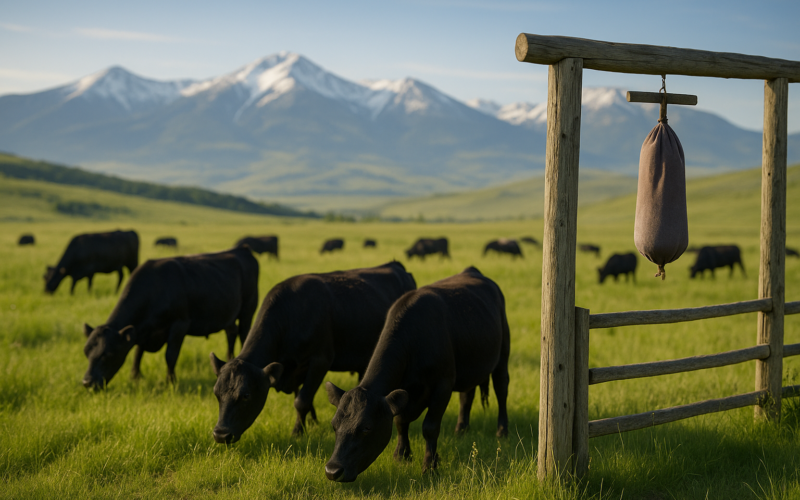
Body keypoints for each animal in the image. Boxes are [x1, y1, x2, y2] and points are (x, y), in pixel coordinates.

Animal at [81, 247, 259, 389]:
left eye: (107, 354)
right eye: (86, 352)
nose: (87, 382)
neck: (155, 289)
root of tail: (242, 249)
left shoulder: (180, 324)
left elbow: (170, 355)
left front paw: (171, 382)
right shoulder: (142, 331)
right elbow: (138, 352)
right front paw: (135, 377)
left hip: (248, 309)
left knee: (244, 334)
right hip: (228, 314)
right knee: (231, 332)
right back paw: (229, 359)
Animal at [209, 261, 417, 442]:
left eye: (245, 395)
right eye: (216, 393)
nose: (220, 435)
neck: (291, 314)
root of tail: (395, 265)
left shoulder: (320, 361)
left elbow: (302, 400)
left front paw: (297, 432)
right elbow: (304, 398)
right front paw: (313, 422)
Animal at [324, 267, 509, 482]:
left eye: (366, 428)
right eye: (334, 425)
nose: (332, 470)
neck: (414, 342)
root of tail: (473, 271)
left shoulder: (443, 384)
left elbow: (430, 427)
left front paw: (429, 466)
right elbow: (400, 421)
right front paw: (402, 455)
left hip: (503, 353)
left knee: (501, 389)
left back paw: (502, 431)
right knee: (466, 395)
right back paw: (461, 430)